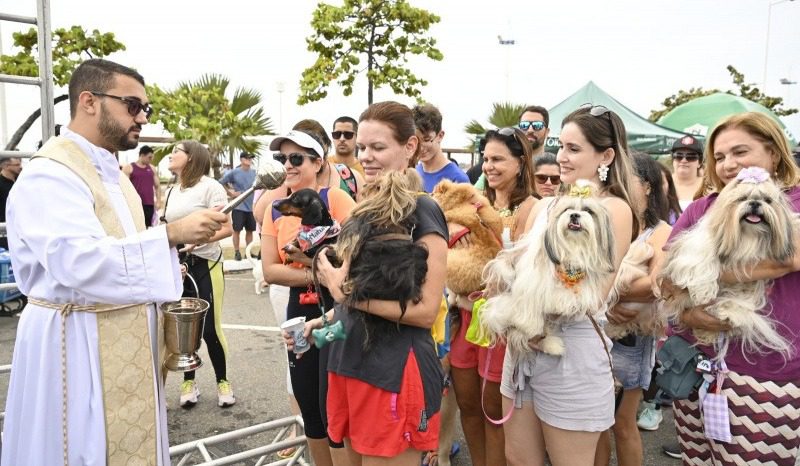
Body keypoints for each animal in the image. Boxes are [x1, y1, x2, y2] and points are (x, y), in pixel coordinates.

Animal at [482, 182, 620, 356]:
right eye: (567, 209)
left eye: (589, 211)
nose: (574, 215)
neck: (573, 248)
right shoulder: (528, 282)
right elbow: (528, 307)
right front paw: (529, 325)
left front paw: (564, 301)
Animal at [660, 167, 796, 360]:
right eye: (742, 198)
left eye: (768, 200)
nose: (755, 203)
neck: (748, 237)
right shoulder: (697, 246)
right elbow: (703, 262)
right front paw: (704, 292)